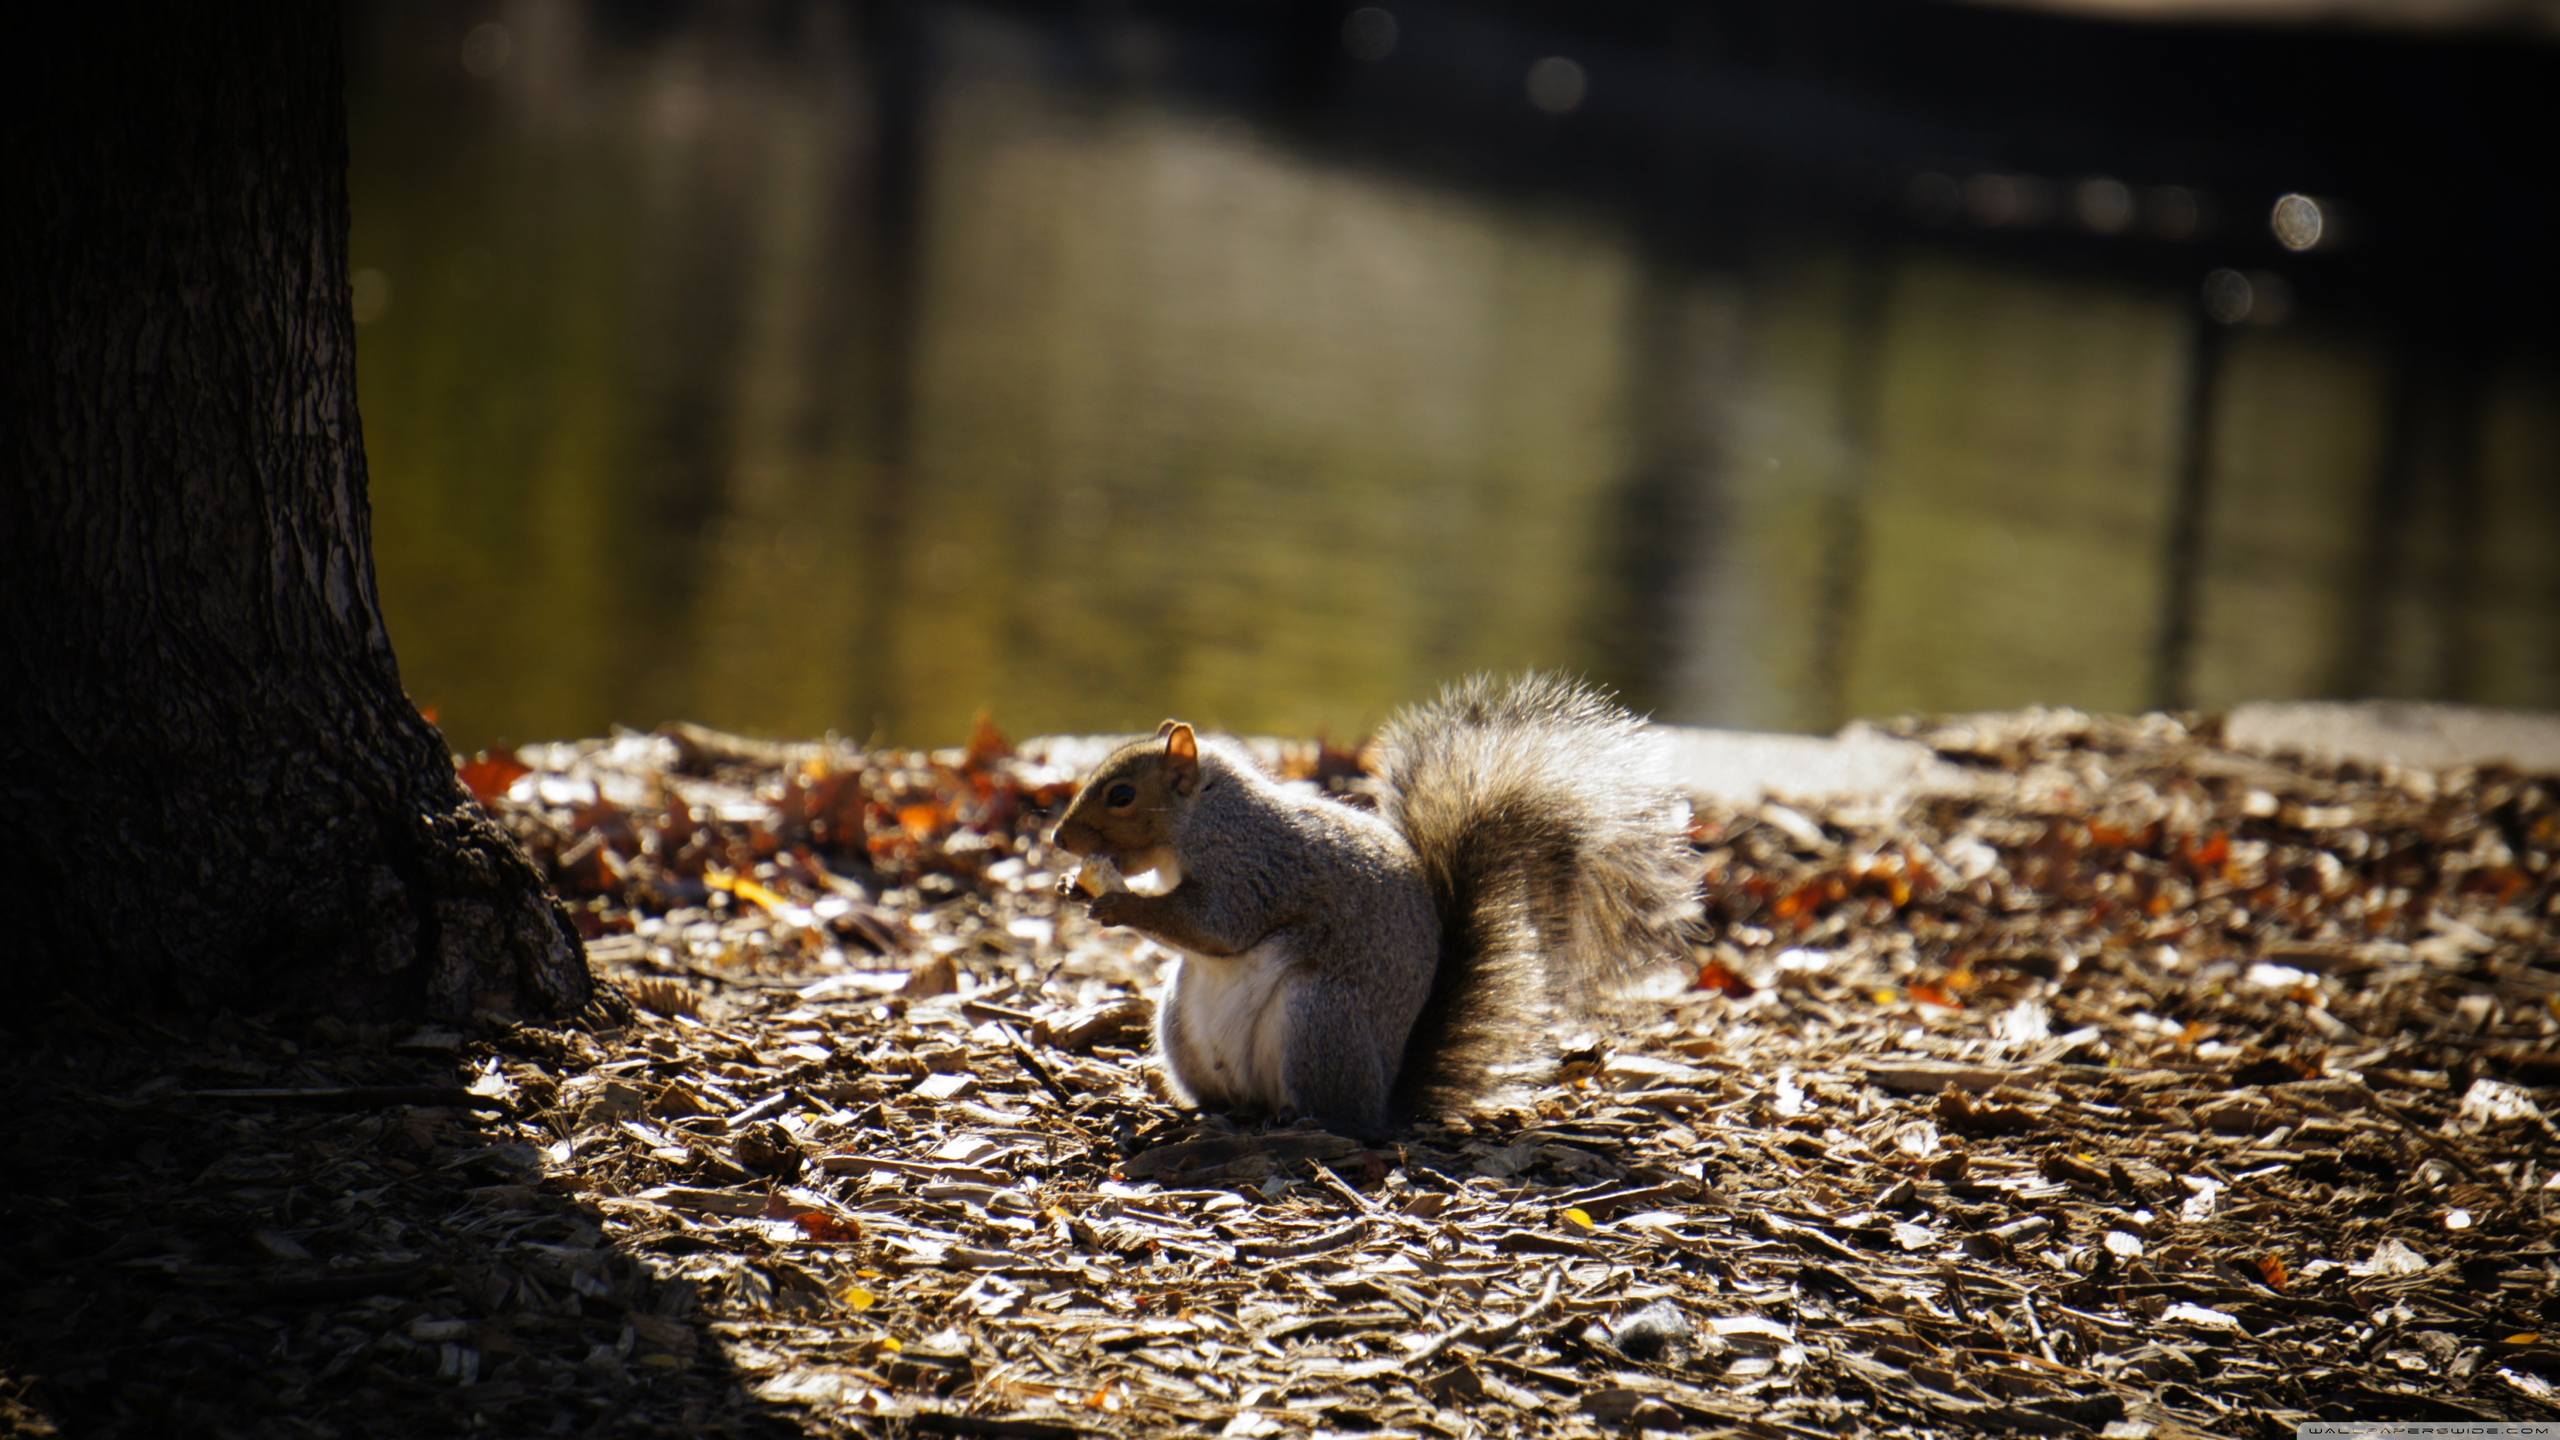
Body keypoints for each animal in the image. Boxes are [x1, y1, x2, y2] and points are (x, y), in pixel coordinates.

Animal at [1044, 671, 1699, 1132]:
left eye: (1121, 794)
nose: (1058, 841)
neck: (1203, 813)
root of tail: (1385, 1099)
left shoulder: (1251, 867)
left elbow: (1217, 927)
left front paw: (1119, 904)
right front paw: (1075, 887)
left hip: (1319, 1017)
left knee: (1338, 1114)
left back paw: (1303, 1117)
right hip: (1180, 1021)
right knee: (1230, 1095)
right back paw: (1213, 1109)